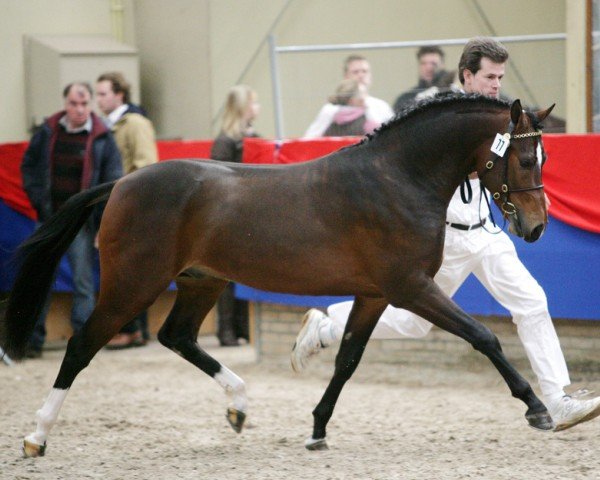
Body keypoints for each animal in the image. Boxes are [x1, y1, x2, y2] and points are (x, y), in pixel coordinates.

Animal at [0, 94, 556, 458]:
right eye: (523, 158)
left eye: (542, 156)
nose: (535, 227)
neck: (397, 178)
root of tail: (121, 183)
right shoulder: (411, 287)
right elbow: (483, 336)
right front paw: (536, 408)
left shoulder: (375, 294)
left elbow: (348, 360)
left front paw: (317, 430)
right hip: (133, 284)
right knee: (81, 346)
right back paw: (36, 437)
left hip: (203, 280)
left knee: (176, 335)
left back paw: (239, 406)